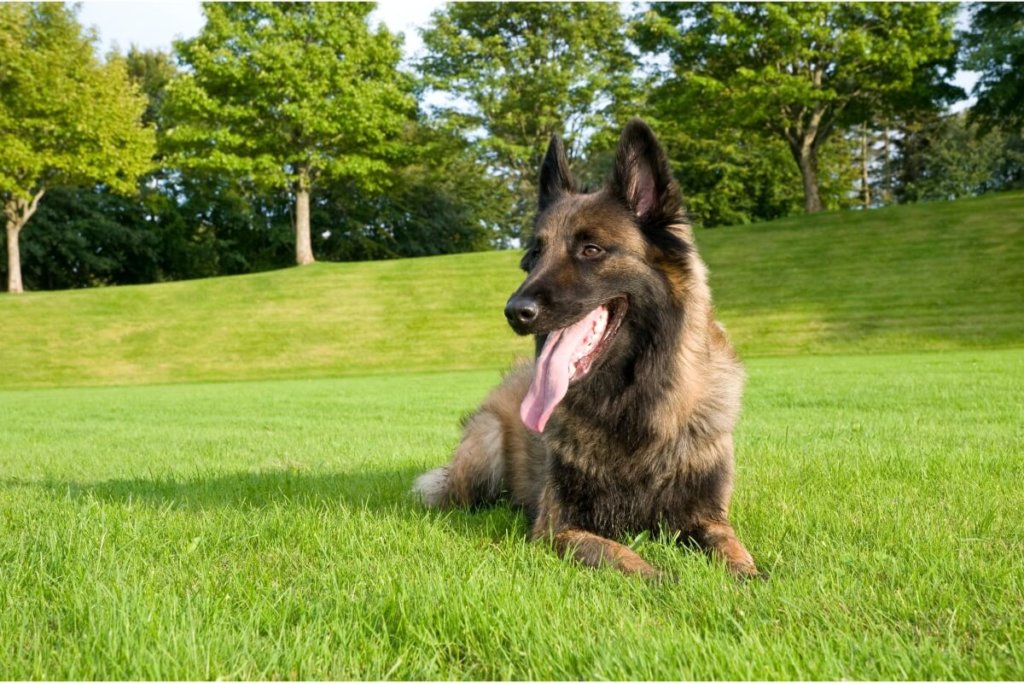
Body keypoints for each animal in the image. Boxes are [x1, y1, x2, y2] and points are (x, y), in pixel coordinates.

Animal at [411, 120, 757, 581]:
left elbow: (735, 553)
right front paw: (671, 581)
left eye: (590, 250)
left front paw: (750, 579)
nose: (516, 312)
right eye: (533, 256)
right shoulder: (559, 527)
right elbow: (629, 561)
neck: (631, 401)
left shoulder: (708, 517)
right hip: (483, 446)